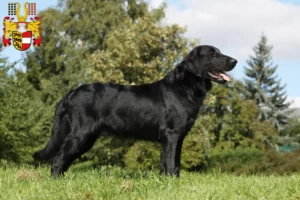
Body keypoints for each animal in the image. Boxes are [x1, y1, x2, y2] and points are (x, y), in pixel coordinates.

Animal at [33, 45, 237, 177]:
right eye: (212, 53)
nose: (235, 60)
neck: (185, 86)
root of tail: (71, 93)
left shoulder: (178, 137)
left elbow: (173, 163)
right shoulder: (171, 134)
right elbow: (171, 162)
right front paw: (171, 181)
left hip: (86, 138)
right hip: (80, 135)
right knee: (58, 160)